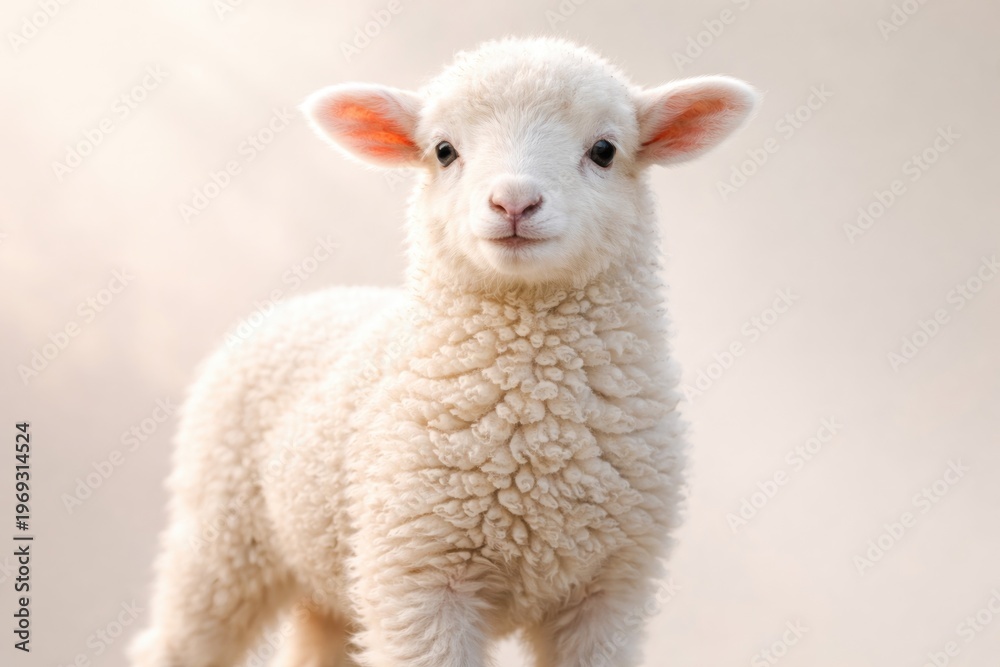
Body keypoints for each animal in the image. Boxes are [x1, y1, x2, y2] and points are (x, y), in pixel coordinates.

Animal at [129, 37, 758, 667]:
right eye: (444, 150)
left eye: (604, 150)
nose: (514, 202)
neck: (536, 434)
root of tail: (310, 301)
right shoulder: (416, 576)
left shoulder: (608, 591)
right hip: (223, 533)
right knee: (179, 639)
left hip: (326, 570)